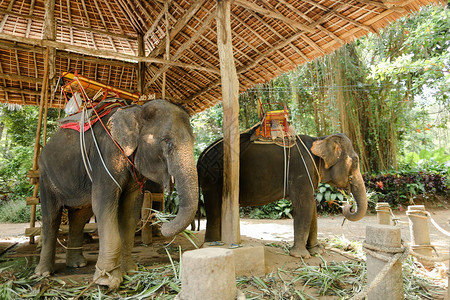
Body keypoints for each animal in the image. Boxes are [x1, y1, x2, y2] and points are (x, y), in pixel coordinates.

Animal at [35, 99, 197, 290]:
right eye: (166, 140)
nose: (163, 226)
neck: (135, 110)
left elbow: (130, 210)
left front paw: (130, 271)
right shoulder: (106, 157)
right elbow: (102, 203)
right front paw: (106, 281)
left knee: (79, 217)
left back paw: (77, 264)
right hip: (45, 176)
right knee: (51, 217)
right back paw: (43, 272)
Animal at [199, 129, 368, 258]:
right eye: (356, 161)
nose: (348, 205)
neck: (320, 139)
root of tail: (201, 155)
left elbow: (312, 207)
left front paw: (316, 251)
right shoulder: (300, 170)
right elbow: (304, 205)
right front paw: (300, 255)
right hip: (213, 177)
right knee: (214, 207)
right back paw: (212, 244)